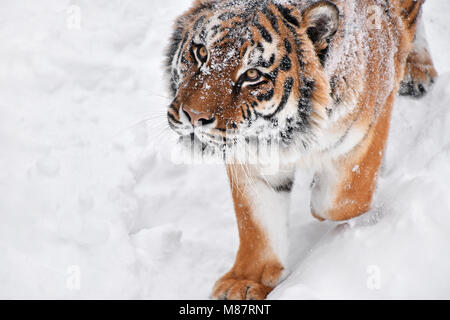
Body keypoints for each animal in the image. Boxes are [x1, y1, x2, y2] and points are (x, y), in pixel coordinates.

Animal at [164, 0, 436, 300]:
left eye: (252, 74)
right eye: (201, 52)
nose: (193, 116)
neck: (287, 130)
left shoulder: (368, 127)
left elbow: (338, 200)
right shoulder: (251, 157)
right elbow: (257, 224)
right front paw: (245, 282)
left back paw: (418, 69)